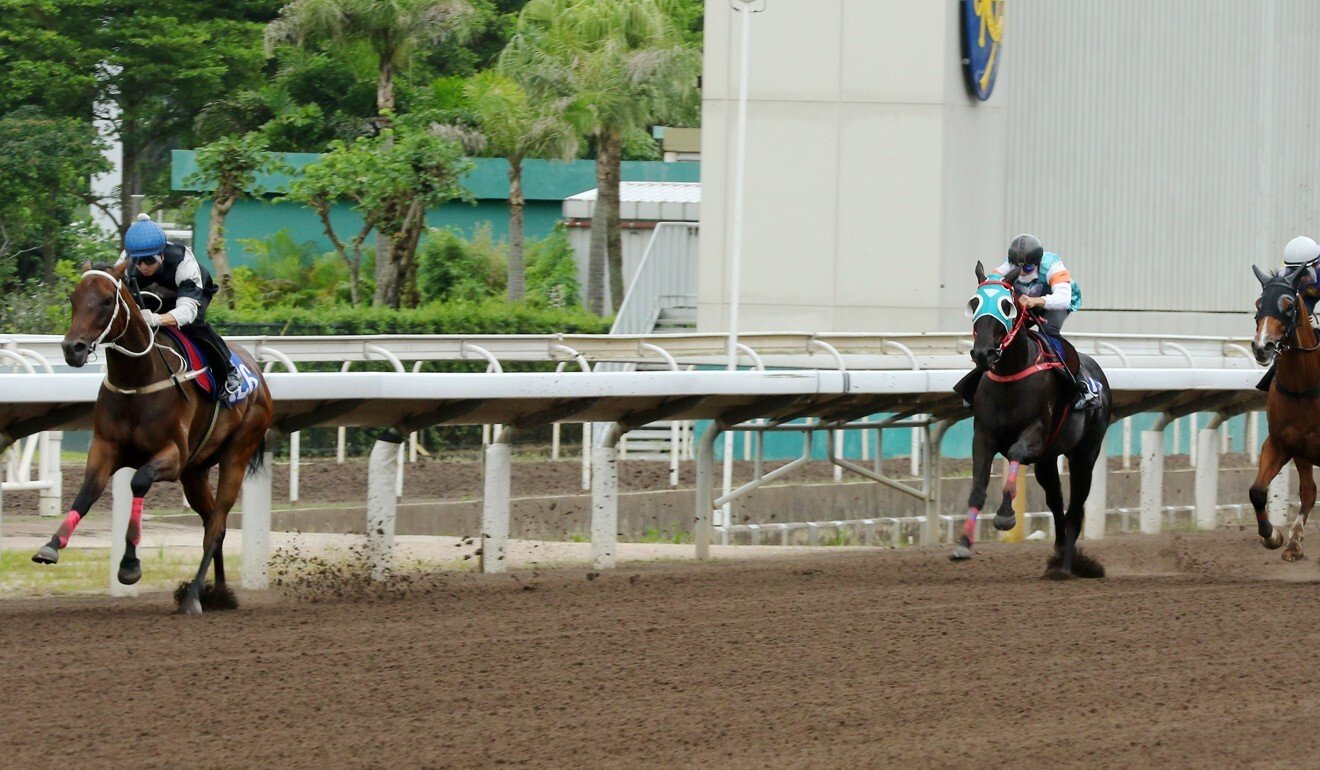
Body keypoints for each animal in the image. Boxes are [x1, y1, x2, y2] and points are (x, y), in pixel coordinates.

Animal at [37, 261, 273, 618]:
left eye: (106, 301)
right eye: (72, 298)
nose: (72, 349)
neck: (137, 380)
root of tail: (257, 373)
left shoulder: (172, 456)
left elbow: (139, 481)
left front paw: (129, 564)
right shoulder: (105, 447)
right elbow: (87, 491)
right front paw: (52, 545)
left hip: (237, 453)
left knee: (216, 526)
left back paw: (193, 595)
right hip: (195, 471)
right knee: (211, 524)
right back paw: (217, 593)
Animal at [955, 261, 1108, 575]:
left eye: (1007, 305)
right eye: (974, 303)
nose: (983, 353)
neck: (1009, 377)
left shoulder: (1035, 434)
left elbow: (1015, 453)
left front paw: (1005, 517)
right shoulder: (983, 436)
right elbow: (977, 487)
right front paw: (963, 543)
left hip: (1085, 453)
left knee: (1076, 505)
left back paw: (1065, 566)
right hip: (1048, 459)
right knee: (1056, 499)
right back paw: (1060, 550)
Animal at [1246, 265, 1320, 560]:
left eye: (1288, 306)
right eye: (1258, 303)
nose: (1262, 347)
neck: (1306, 387)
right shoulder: (1281, 443)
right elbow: (1257, 491)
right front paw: (1273, 536)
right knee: (1309, 491)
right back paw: (1293, 543)